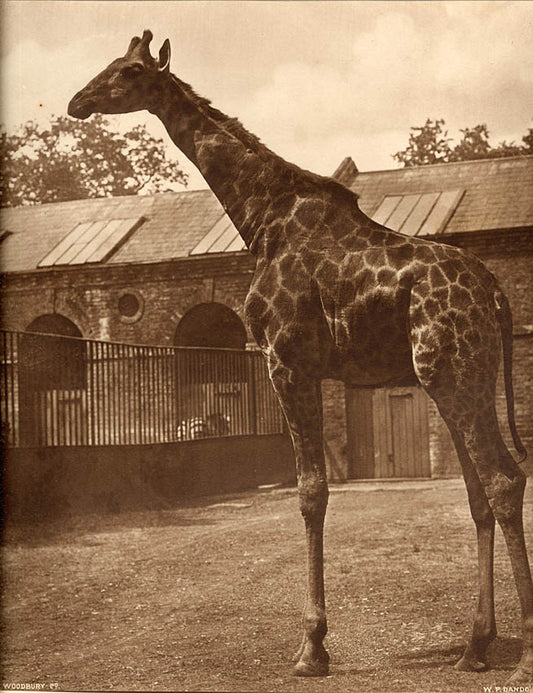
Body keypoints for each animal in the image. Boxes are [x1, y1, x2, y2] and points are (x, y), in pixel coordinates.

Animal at [68, 31, 532, 683]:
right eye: (111, 64)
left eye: (130, 71)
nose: (77, 102)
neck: (262, 220)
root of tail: (494, 292)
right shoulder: (298, 366)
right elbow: (314, 490)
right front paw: (317, 642)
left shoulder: (287, 361)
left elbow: (311, 491)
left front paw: (312, 647)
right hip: (461, 378)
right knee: (481, 496)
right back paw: (475, 647)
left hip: (454, 375)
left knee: (502, 481)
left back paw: (523, 657)